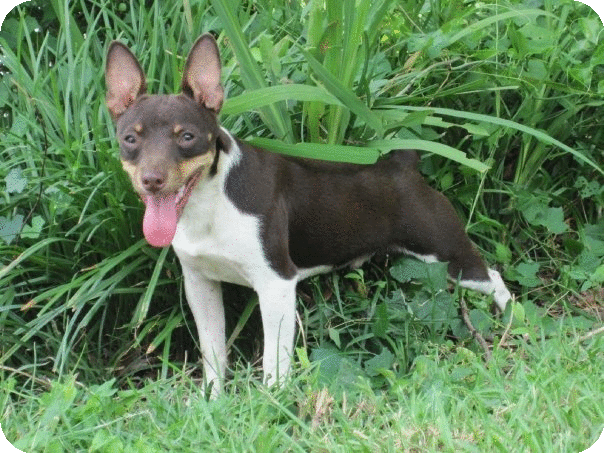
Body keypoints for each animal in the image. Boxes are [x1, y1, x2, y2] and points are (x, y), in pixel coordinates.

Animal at [105, 34, 510, 396]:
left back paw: (511, 325)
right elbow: (214, 354)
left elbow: (274, 361)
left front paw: (274, 403)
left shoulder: (276, 285)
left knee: (494, 278)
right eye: (130, 139)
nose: (152, 180)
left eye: (186, 137)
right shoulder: (200, 285)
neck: (210, 202)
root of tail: (404, 167)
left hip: (450, 255)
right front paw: (212, 402)